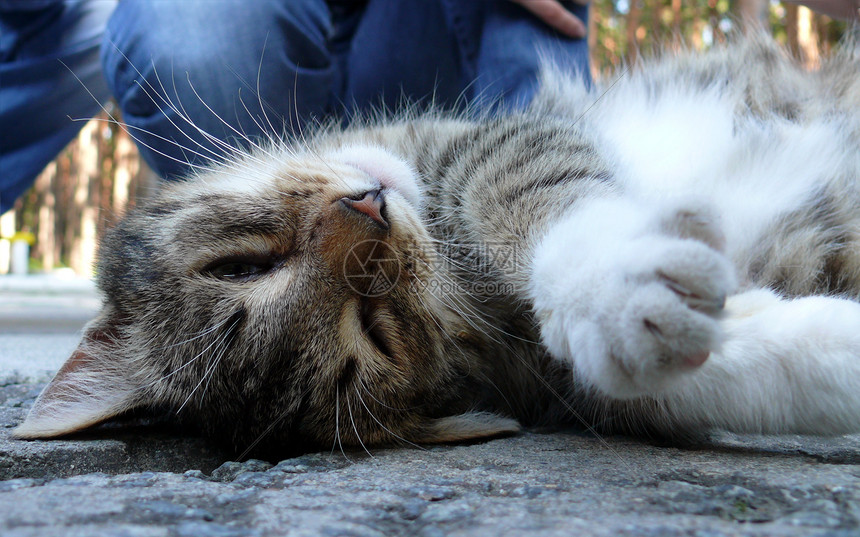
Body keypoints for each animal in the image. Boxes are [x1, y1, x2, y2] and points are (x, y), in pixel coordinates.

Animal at [10, 36, 860, 456]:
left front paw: (608, 284)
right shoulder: (555, 381)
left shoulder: (485, 148)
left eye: (241, 265)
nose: (369, 208)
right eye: (374, 328)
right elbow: (694, 379)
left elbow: (532, 201)